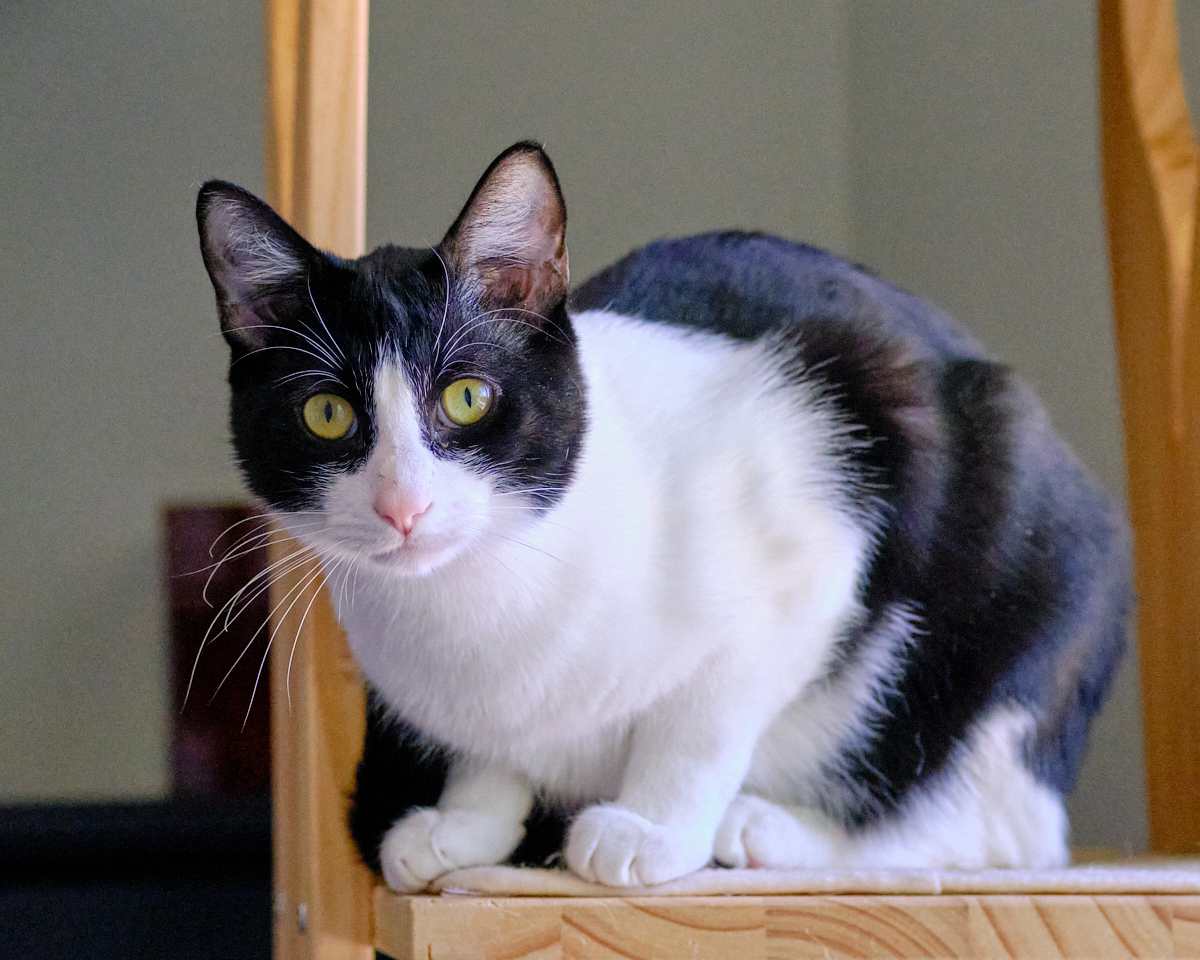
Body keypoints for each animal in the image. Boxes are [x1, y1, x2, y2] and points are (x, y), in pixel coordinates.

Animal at [199, 138, 1132, 888]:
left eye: (467, 398)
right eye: (326, 414)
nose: (403, 506)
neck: (476, 608)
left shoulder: (808, 547)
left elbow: (701, 720)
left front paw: (650, 826)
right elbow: (489, 752)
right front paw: (468, 820)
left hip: (1012, 593)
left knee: (1002, 827)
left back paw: (770, 829)